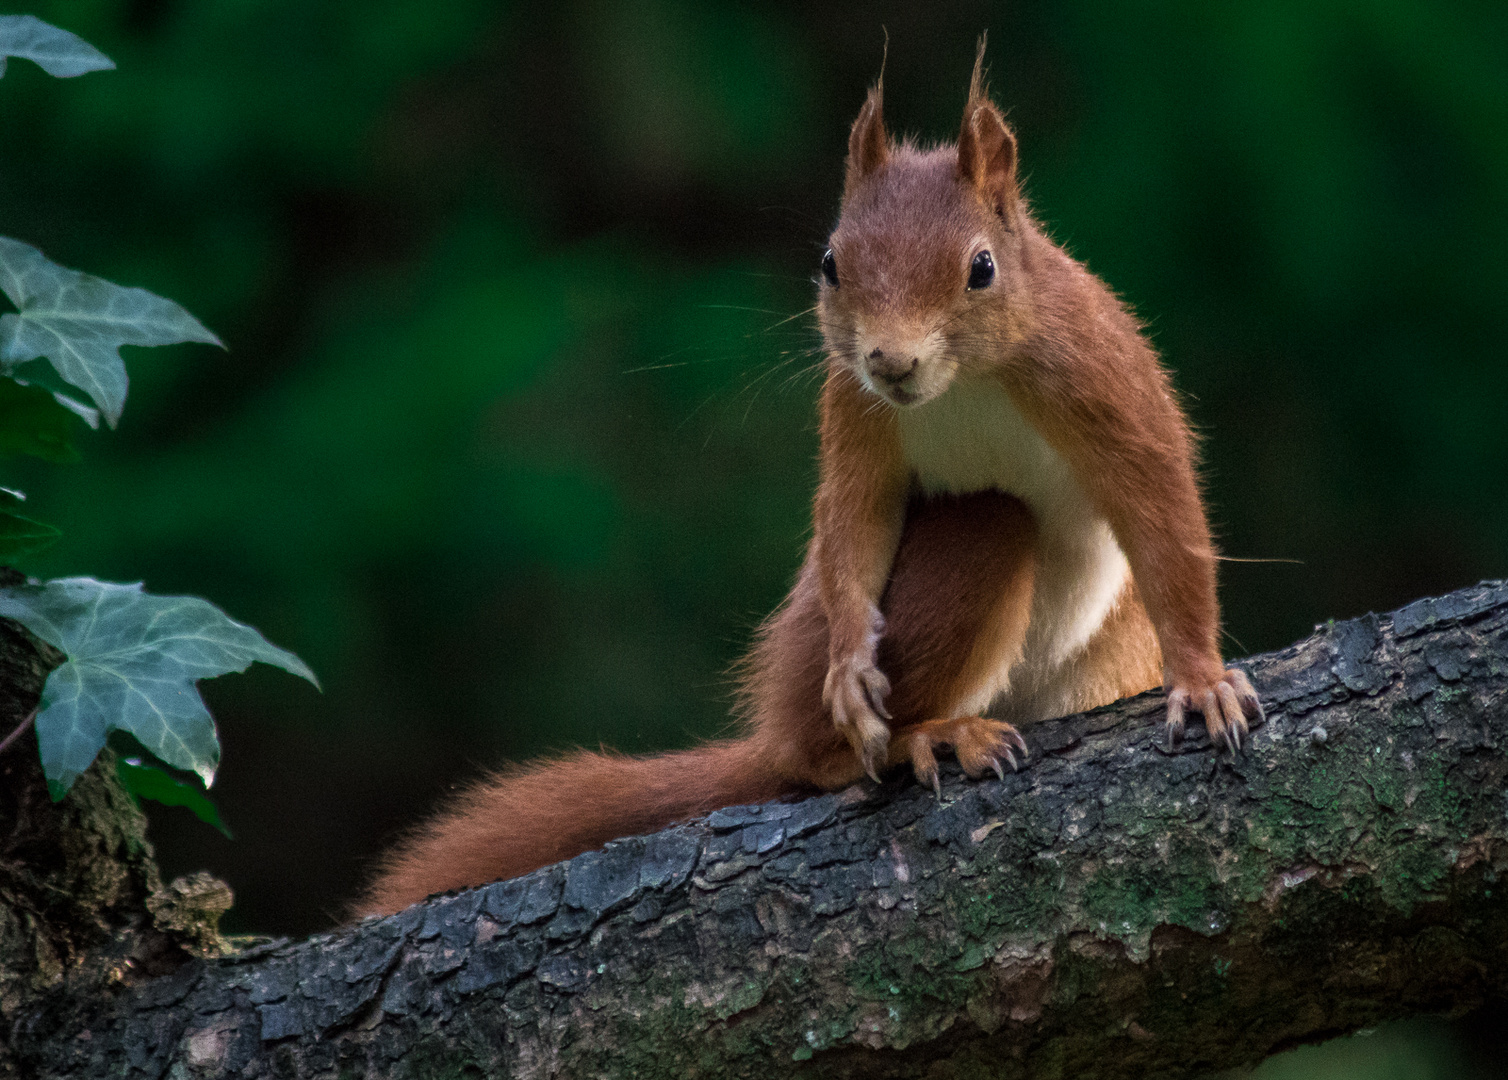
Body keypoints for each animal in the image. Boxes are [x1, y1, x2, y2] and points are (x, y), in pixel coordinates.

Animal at [352, 48, 1260, 911]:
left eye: (982, 268)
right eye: (830, 263)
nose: (890, 360)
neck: (966, 383)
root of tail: (773, 727)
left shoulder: (1103, 383)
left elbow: (1162, 513)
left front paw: (1201, 679)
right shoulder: (852, 408)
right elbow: (853, 520)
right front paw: (852, 665)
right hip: (882, 616)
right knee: (827, 747)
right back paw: (921, 734)